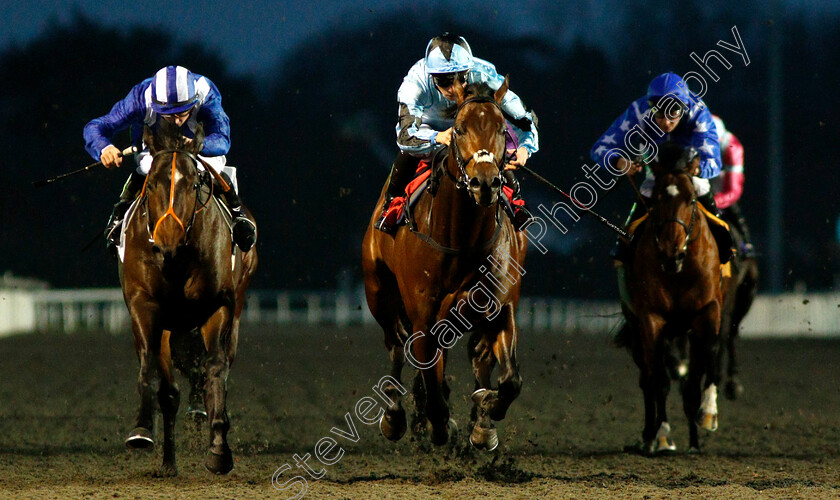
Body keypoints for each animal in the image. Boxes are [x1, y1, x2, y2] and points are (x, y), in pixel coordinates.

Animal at [117, 119, 256, 474]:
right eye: (151, 185)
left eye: (194, 185)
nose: (169, 239)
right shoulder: (144, 306)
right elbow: (152, 368)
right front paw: (142, 430)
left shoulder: (218, 306)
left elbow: (215, 368)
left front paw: (219, 448)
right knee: (170, 390)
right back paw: (168, 462)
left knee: (219, 364)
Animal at [362, 80, 532, 452]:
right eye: (460, 128)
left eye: (502, 129)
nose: (486, 182)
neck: (460, 239)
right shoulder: (423, 314)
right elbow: (431, 378)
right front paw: (438, 423)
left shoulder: (501, 306)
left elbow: (511, 380)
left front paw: (486, 406)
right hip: (379, 293)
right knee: (396, 344)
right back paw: (395, 414)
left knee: (478, 355)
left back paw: (480, 424)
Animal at [620, 143, 724, 456]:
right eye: (654, 201)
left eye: (691, 199)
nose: (671, 254)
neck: (680, 272)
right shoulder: (650, 318)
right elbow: (659, 380)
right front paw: (662, 434)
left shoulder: (708, 309)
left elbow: (708, 356)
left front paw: (708, 414)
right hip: (637, 328)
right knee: (648, 377)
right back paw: (649, 436)